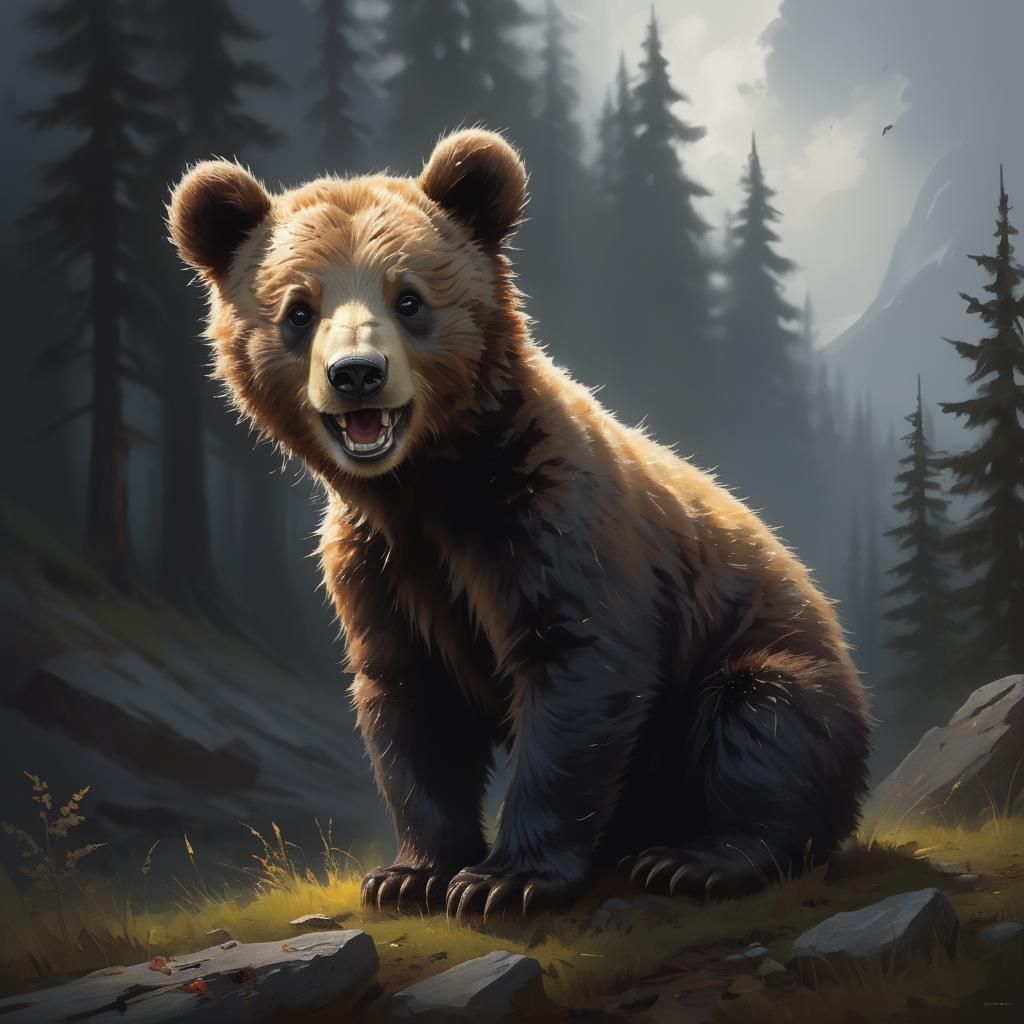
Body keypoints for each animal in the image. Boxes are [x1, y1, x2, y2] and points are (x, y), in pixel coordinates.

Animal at [167, 128, 870, 919]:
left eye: (408, 298)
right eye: (297, 309)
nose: (357, 375)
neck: (428, 486)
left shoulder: (549, 522)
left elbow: (576, 670)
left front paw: (504, 878)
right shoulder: (378, 565)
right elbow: (411, 702)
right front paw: (410, 873)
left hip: (763, 651)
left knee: (761, 722)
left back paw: (696, 859)